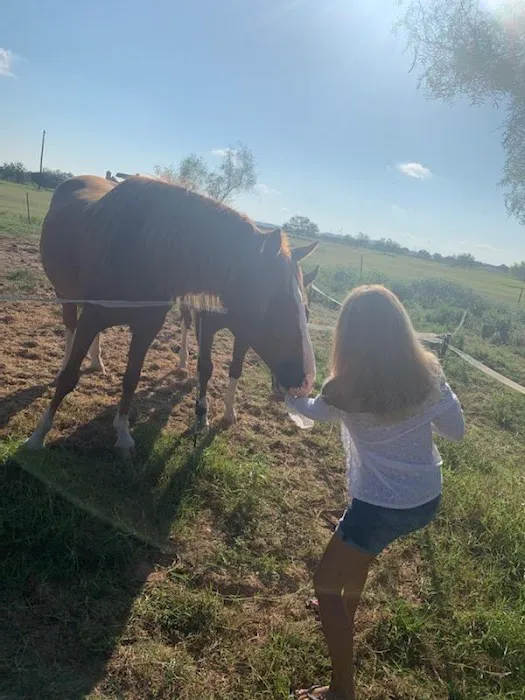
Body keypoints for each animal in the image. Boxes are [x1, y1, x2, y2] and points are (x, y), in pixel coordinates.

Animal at [179, 261, 319, 431]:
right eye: (280, 315)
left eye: (307, 314)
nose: (305, 385)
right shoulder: (205, 325)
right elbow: (205, 368)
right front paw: (201, 416)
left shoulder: (244, 334)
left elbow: (235, 369)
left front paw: (229, 413)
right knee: (185, 323)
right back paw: (182, 362)